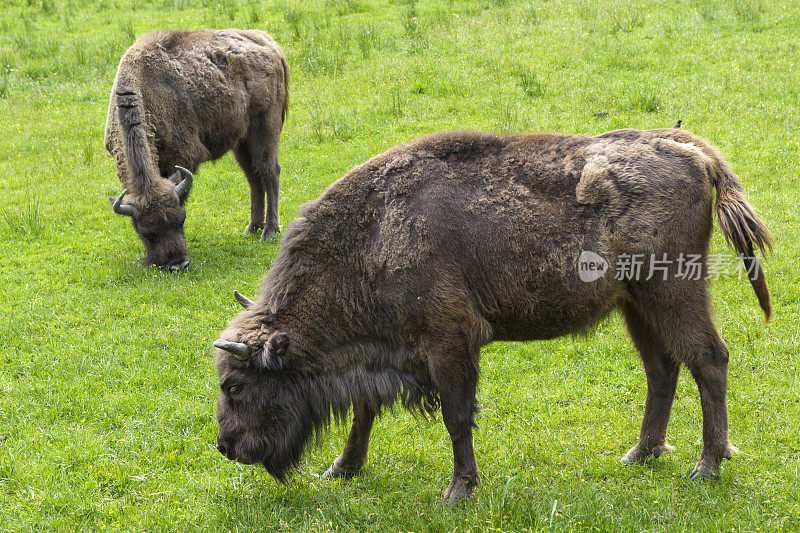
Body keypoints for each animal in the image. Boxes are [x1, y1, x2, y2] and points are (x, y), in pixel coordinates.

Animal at [104, 29, 290, 270]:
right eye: (146, 232)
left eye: (181, 220)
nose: (178, 263)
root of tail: (270, 45)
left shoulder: (184, 158)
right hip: (241, 141)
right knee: (254, 178)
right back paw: (252, 228)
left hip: (264, 129)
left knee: (270, 172)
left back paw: (269, 231)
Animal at [211, 128, 768, 498]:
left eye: (234, 385)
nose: (226, 446)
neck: (374, 240)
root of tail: (690, 150)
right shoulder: (387, 354)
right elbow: (365, 412)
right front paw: (340, 469)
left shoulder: (450, 344)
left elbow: (457, 418)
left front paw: (459, 490)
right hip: (635, 304)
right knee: (662, 369)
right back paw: (641, 453)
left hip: (671, 291)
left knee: (708, 360)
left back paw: (708, 464)